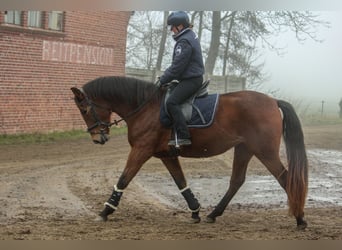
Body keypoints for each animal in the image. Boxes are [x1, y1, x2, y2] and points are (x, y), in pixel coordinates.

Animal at [71, 75, 308, 229]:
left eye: (84, 109)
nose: (98, 138)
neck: (146, 108)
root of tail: (273, 101)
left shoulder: (141, 150)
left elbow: (123, 179)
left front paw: (105, 211)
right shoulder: (167, 155)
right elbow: (180, 182)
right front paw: (195, 211)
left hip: (265, 151)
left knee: (285, 178)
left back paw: (300, 219)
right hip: (244, 149)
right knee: (237, 181)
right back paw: (213, 214)